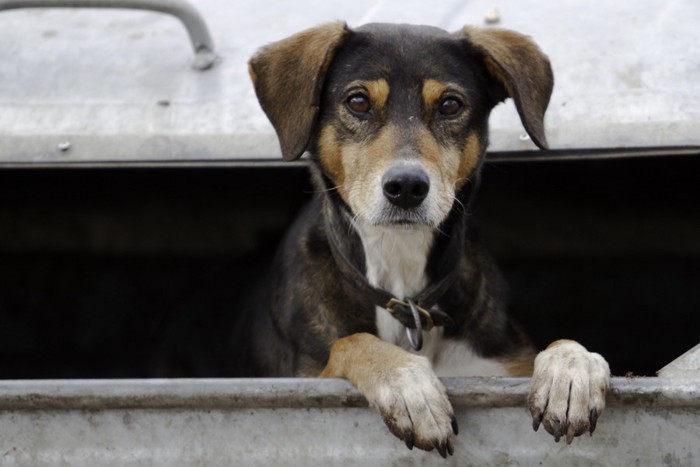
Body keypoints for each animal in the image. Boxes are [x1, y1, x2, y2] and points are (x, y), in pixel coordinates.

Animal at [238, 21, 608, 458]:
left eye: (450, 105)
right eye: (358, 101)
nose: (406, 187)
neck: (402, 275)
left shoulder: (502, 362)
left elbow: (565, 343)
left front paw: (572, 372)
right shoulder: (304, 376)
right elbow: (354, 342)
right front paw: (408, 387)